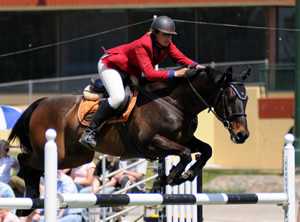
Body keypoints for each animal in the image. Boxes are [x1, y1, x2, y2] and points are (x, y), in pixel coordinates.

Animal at [8, 65, 250, 215]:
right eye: (229, 98)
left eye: (246, 99)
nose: (242, 135)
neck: (174, 101)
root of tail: (42, 101)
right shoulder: (150, 142)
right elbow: (184, 153)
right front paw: (168, 178)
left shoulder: (185, 138)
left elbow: (205, 150)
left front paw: (185, 175)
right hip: (53, 150)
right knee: (24, 160)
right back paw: (28, 199)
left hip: (75, 157)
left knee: (34, 165)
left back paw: (28, 202)